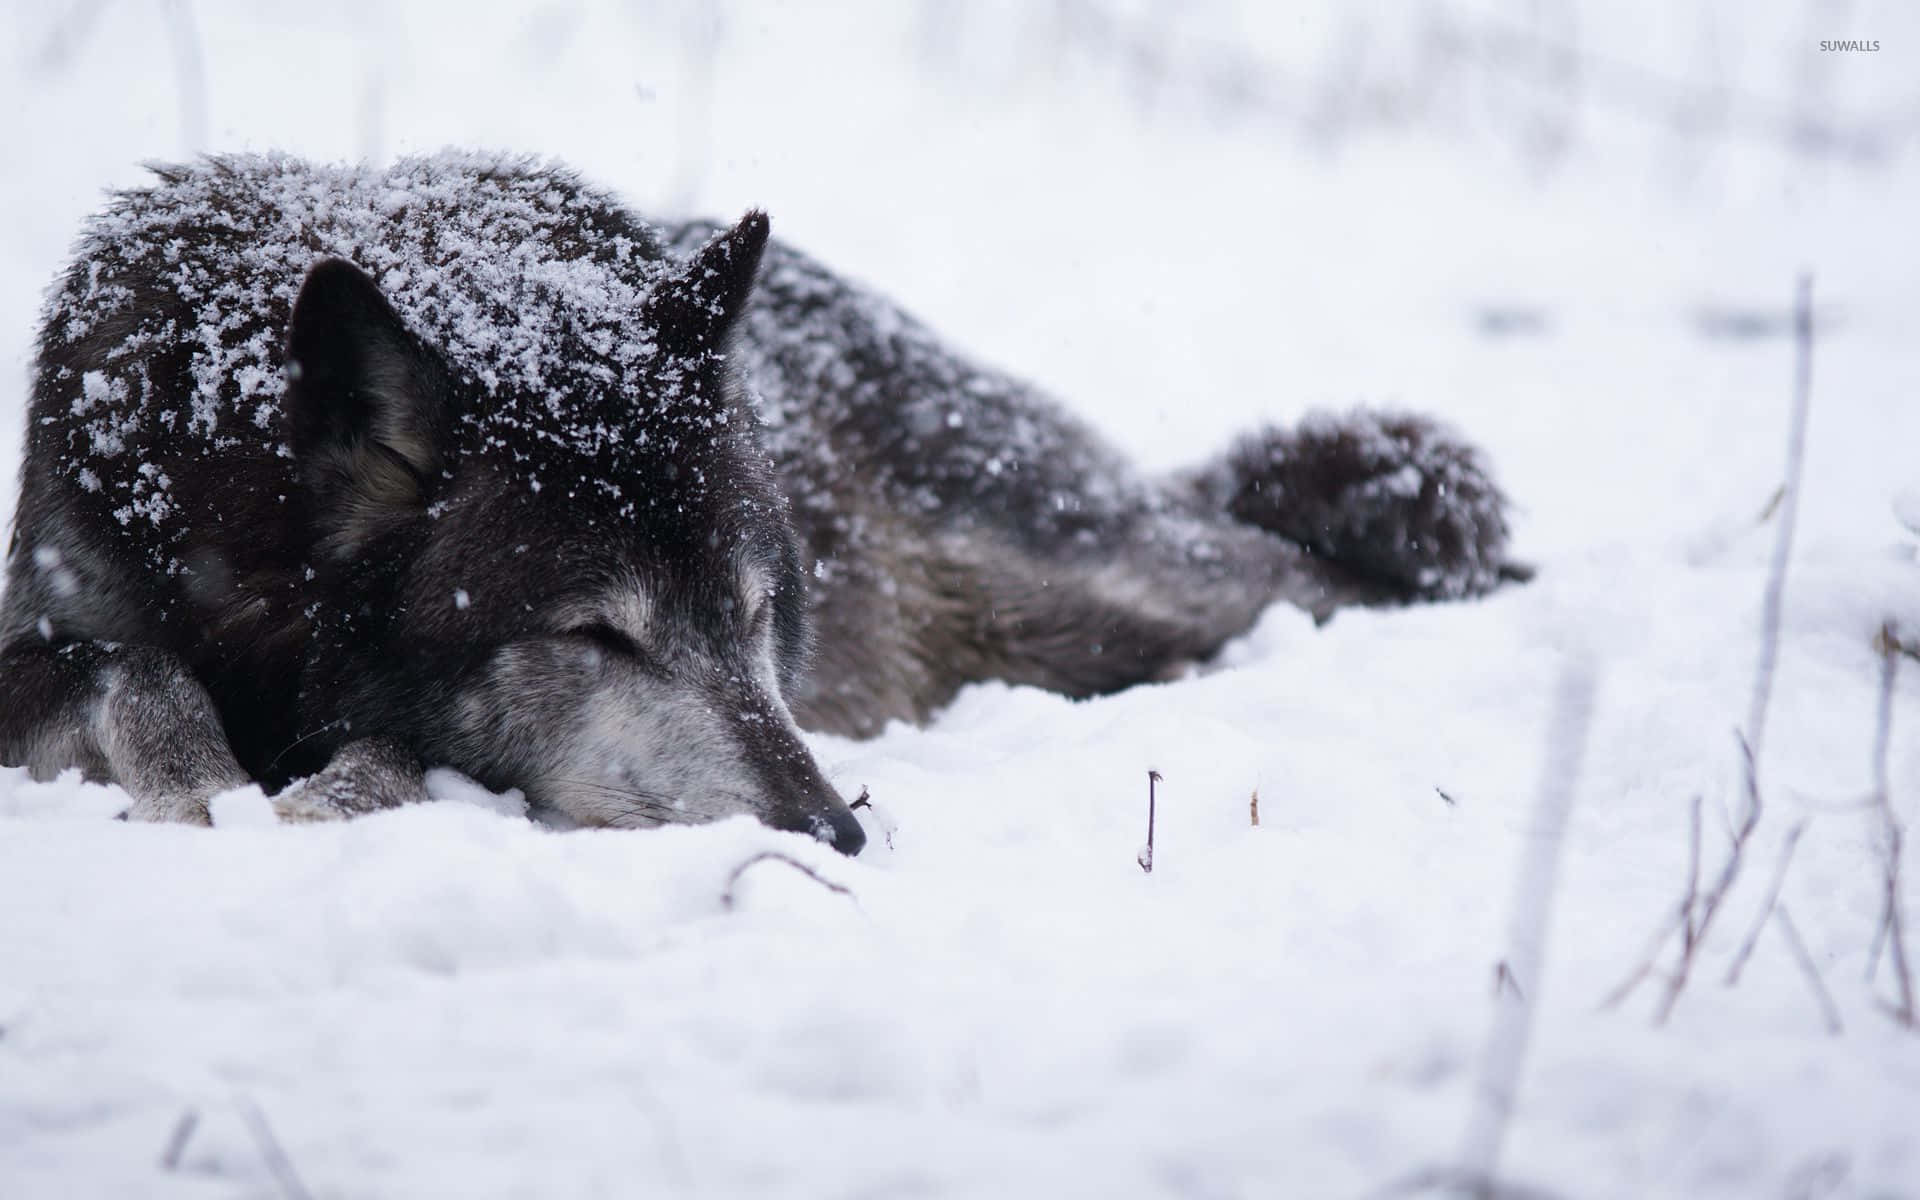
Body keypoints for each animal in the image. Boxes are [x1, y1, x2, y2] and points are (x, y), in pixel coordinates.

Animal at [0, 154, 1516, 854]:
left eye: (753, 614)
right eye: (597, 636)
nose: (837, 834)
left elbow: (377, 749)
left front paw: (316, 795)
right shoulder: (60, 612)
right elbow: (126, 663)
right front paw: (206, 782)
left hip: (1099, 585)